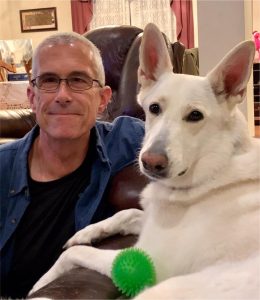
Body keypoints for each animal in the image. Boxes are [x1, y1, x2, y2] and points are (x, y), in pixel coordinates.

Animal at [31, 22, 260, 298]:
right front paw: (87, 232)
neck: (213, 171)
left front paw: (41, 283)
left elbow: (73, 254)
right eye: (154, 109)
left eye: (195, 116)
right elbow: (127, 212)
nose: (151, 162)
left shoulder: (149, 262)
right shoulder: (147, 228)